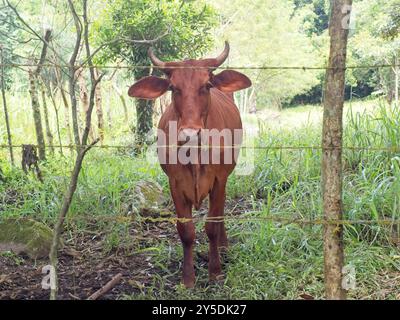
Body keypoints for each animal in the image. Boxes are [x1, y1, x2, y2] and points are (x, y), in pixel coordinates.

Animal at [128, 42, 252, 288]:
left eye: (206, 85)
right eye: (173, 88)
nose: (190, 133)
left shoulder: (219, 180)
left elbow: (212, 225)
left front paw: (215, 271)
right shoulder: (174, 183)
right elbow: (186, 231)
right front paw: (188, 278)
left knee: (221, 214)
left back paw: (224, 247)